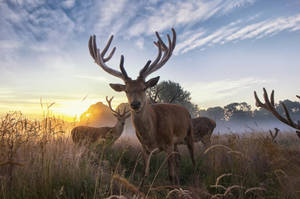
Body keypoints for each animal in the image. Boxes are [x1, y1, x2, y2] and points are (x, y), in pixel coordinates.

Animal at [88, 28, 196, 185]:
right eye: (126, 90)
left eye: (144, 88)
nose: (135, 104)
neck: (152, 135)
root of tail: (185, 110)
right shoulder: (144, 147)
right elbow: (145, 174)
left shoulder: (168, 143)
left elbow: (170, 175)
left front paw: (173, 185)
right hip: (177, 143)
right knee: (178, 159)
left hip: (189, 134)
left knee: (192, 159)